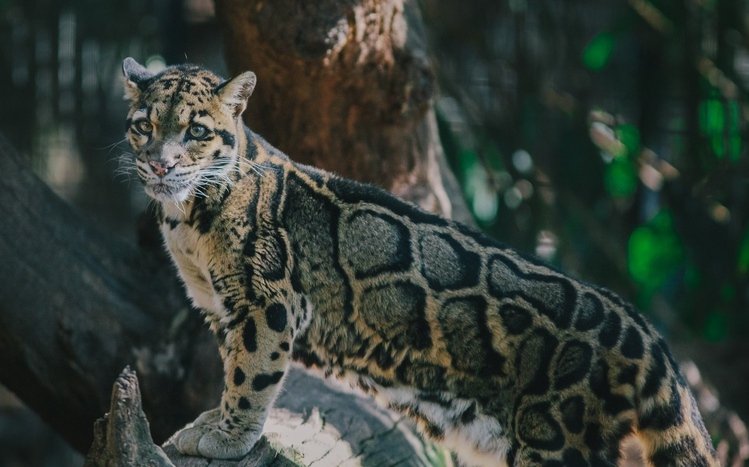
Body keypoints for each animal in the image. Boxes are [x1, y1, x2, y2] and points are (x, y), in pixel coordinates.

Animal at [121, 57, 718, 466]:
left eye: (197, 131)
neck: (185, 217)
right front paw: (214, 419)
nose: (160, 164)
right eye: (142, 125)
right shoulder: (219, 304)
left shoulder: (265, 302)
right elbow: (232, 366)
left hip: (556, 440)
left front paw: (228, 435)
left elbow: (250, 375)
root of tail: (643, 332)